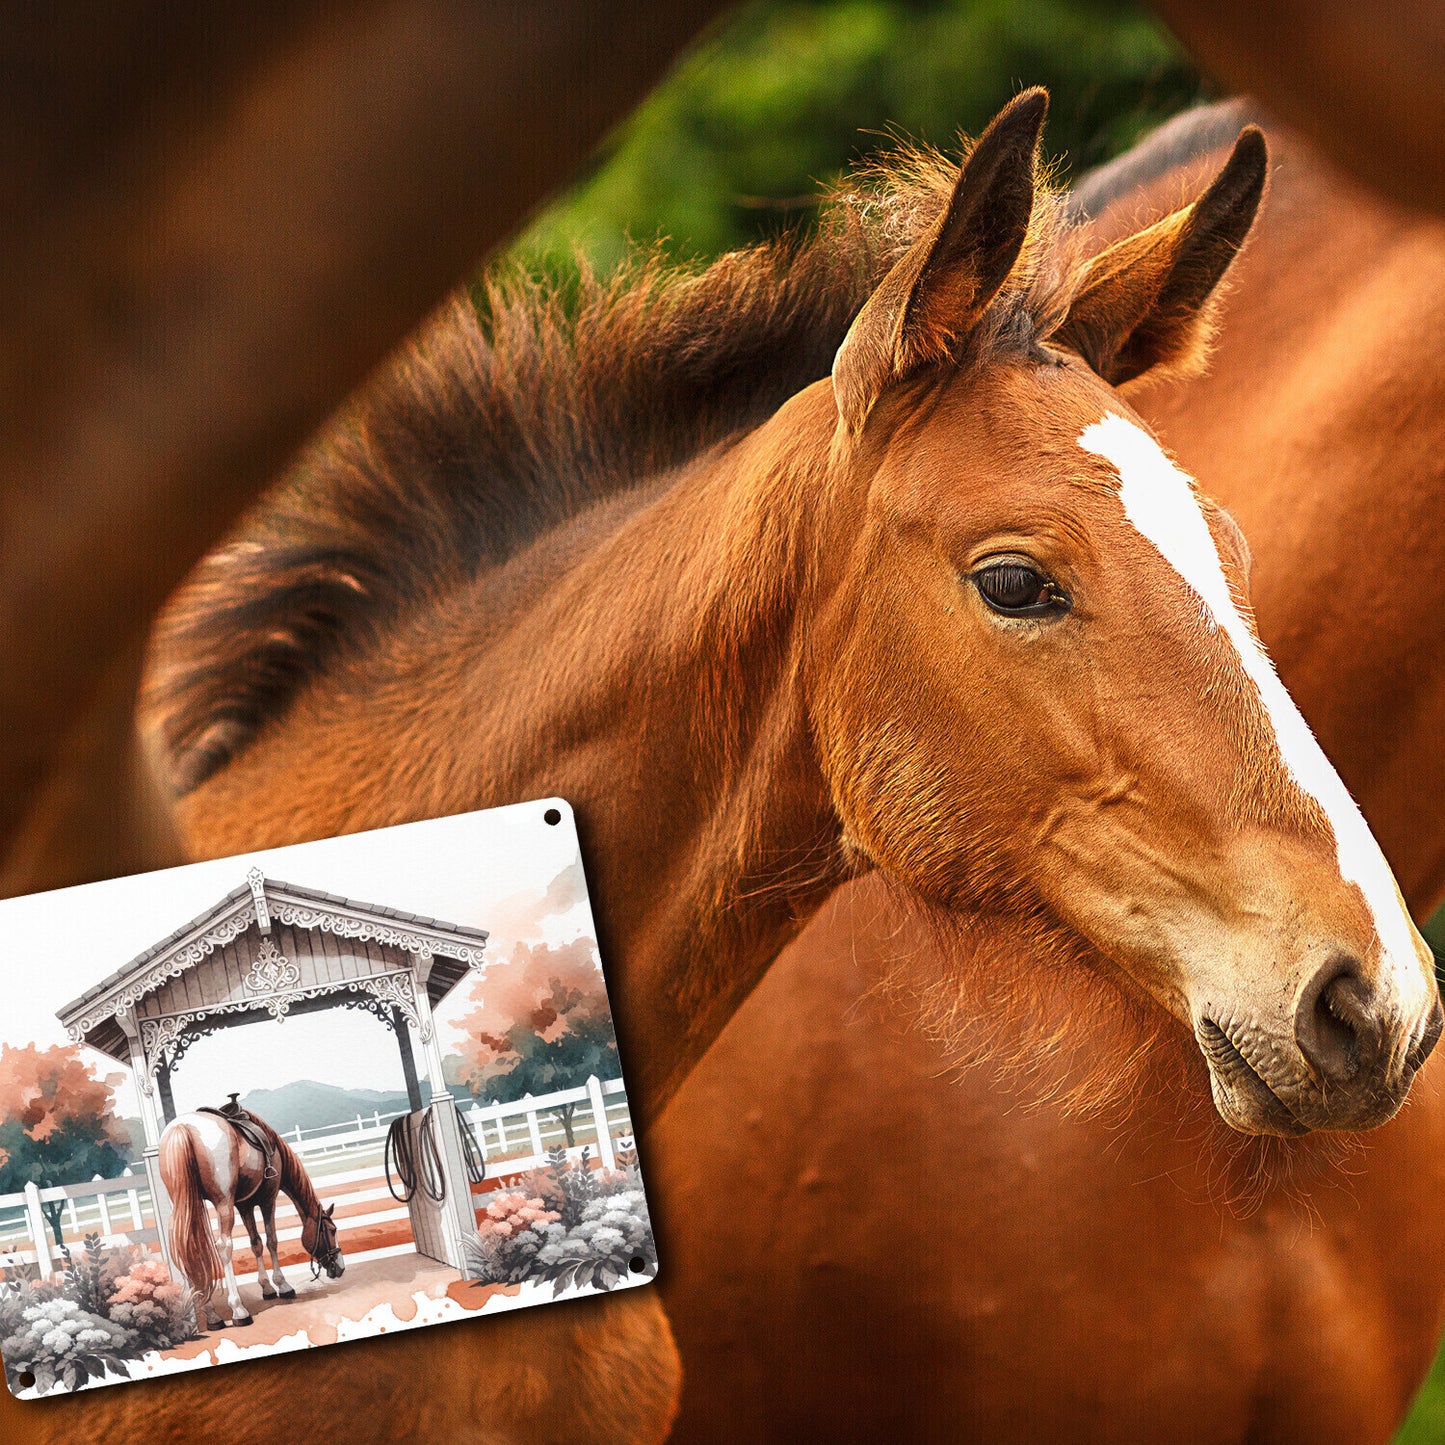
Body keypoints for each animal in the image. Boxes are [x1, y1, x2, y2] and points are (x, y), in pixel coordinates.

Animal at [158, 1103, 346, 1329]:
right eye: (332, 1230)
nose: (340, 1268)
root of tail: (183, 1128)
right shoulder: (268, 1200)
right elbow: (271, 1240)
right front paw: (283, 1285)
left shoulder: (245, 1206)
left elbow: (255, 1243)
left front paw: (267, 1288)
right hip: (223, 1204)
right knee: (224, 1247)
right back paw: (239, 1311)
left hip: (185, 1204)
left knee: (191, 1251)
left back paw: (212, 1315)